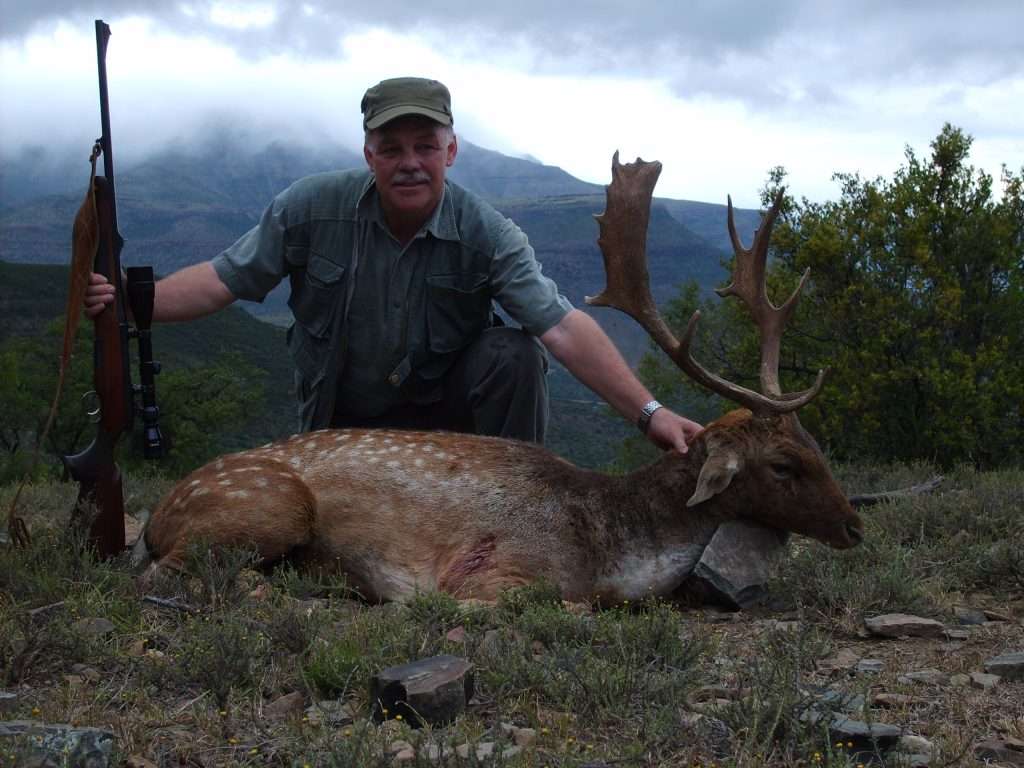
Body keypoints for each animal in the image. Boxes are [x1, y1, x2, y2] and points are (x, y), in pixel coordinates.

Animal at [139, 153, 864, 604]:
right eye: (784, 466)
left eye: (817, 447)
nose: (856, 526)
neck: (608, 551)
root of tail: (157, 515)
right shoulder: (500, 567)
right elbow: (557, 605)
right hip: (268, 503)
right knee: (169, 574)